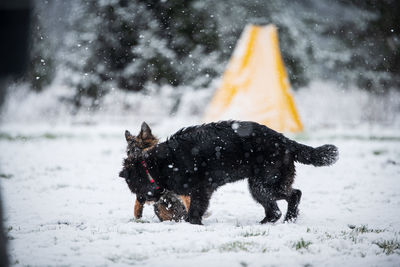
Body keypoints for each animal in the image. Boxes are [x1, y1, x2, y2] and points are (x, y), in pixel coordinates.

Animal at [119, 122, 338, 226]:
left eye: (135, 188)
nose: (141, 201)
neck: (159, 164)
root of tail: (286, 142)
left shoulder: (201, 190)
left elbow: (194, 210)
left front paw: (193, 224)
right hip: (262, 185)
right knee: (278, 207)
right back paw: (269, 223)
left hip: (262, 184)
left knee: (293, 196)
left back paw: (287, 220)